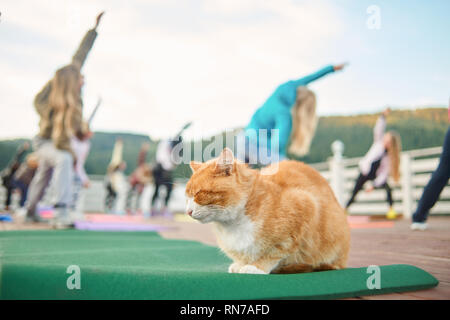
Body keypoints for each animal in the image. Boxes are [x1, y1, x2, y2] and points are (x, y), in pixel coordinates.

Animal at [185, 149, 350, 274]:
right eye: (187, 197)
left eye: (199, 194)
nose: (187, 211)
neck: (232, 225)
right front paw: (241, 264)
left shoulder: (305, 205)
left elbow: (274, 252)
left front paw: (256, 267)